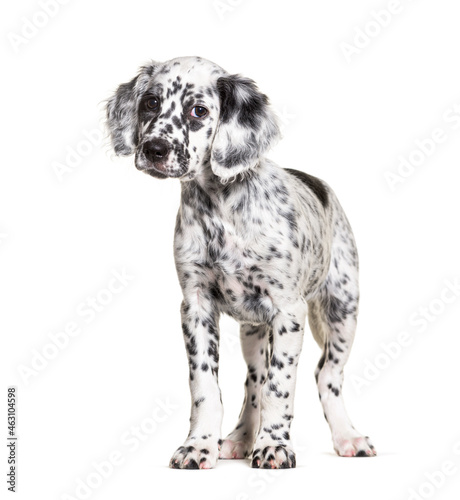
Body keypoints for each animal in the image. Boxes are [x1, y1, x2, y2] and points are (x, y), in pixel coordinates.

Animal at [106, 56, 376, 470]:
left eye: (198, 111)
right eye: (150, 103)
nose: (154, 149)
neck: (221, 210)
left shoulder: (289, 310)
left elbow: (279, 388)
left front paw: (274, 446)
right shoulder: (196, 305)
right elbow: (205, 386)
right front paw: (199, 445)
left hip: (342, 310)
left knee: (325, 375)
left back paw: (348, 437)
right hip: (253, 331)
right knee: (254, 380)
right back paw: (239, 438)